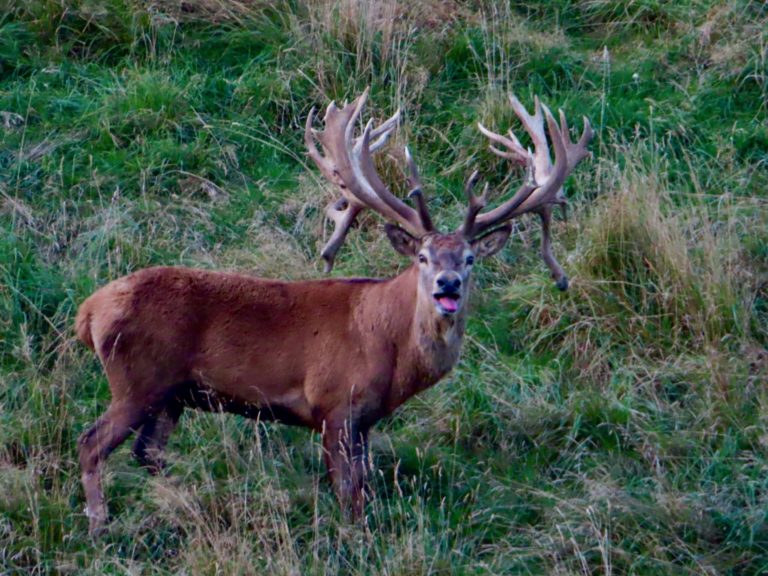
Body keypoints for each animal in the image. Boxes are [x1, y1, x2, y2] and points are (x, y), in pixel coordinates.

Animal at [74, 89, 593, 535]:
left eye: (468, 259)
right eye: (423, 258)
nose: (448, 286)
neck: (388, 346)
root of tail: (88, 311)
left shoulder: (364, 420)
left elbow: (362, 487)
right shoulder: (334, 404)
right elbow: (348, 494)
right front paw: (353, 539)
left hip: (173, 396)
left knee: (147, 452)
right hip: (138, 378)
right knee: (91, 442)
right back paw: (99, 524)